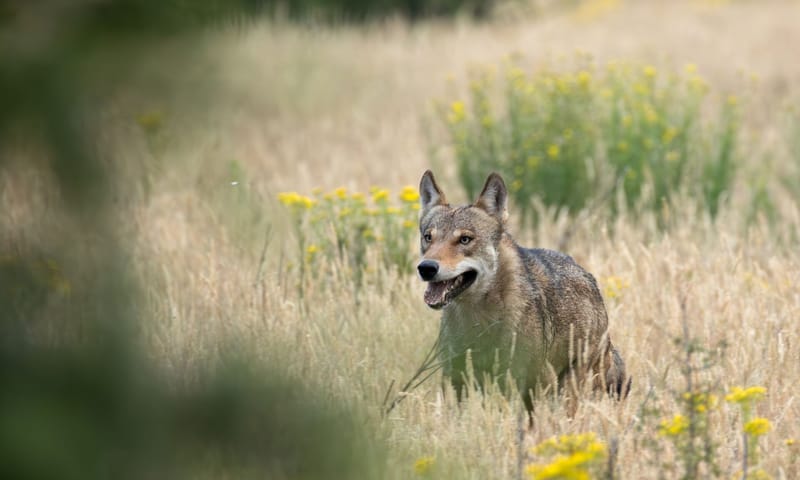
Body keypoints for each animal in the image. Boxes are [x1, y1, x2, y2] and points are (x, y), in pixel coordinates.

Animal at [416, 170, 629, 414]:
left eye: (465, 239)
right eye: (428, 237)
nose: (426, 268)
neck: (477, 320)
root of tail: (589, 278)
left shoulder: (530, 382)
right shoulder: (456, 380)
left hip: (568, 387)